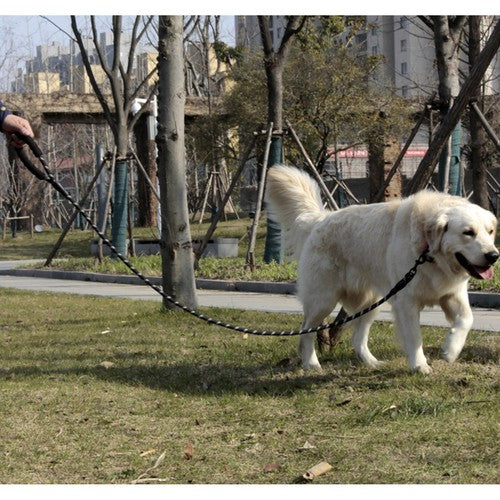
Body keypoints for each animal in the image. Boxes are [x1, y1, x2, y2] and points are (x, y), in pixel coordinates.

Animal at [264, 166, 498, 374]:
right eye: (468, 233)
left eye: (490, 231)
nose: (493, 256)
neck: (429, 254)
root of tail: (321, 219)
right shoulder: (406, 303)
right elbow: (414, 337)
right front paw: (420, 365)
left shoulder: (453, 294)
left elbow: (467, 319)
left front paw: (450, 350)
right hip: (323, 299)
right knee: (307, 331)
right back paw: (311, 363)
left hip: (372, 301)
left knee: (357, 337)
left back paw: (371, 362)